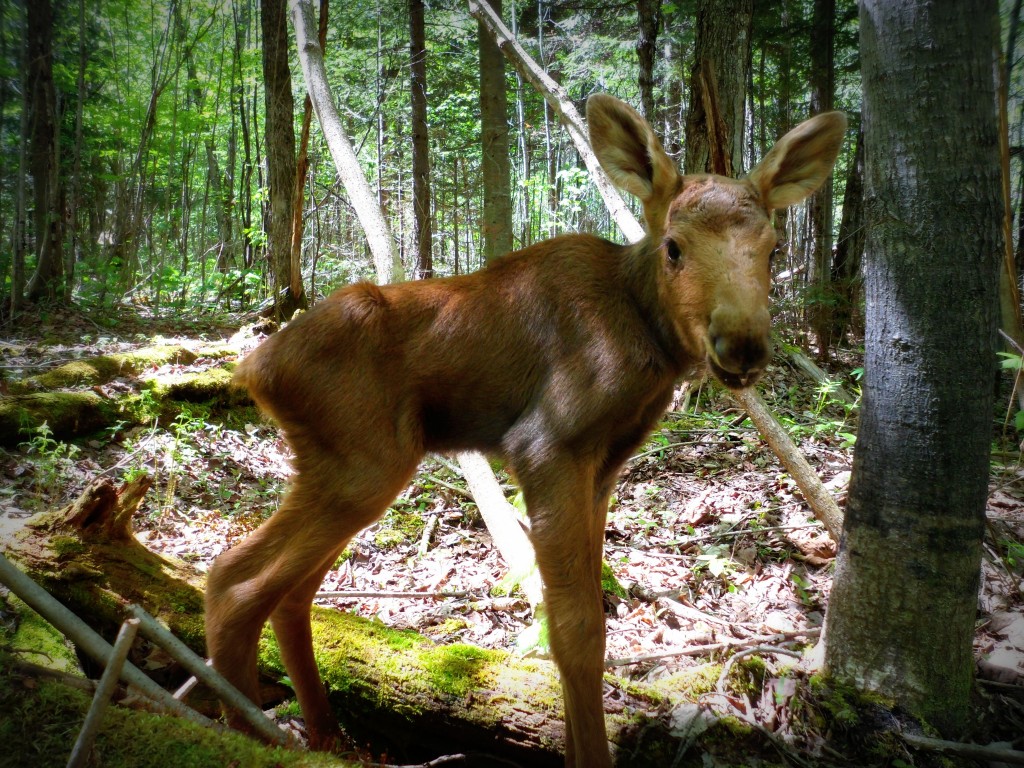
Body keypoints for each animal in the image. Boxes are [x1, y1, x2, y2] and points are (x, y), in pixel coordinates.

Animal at [205, 94, 846, 767]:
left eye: (774, 248)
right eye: (674, 246)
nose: (742, 344)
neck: (646, 337)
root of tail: (253, 369)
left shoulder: (602, 467)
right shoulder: (546, 445)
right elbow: (575, 631)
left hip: (345, 468)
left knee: (289, 593)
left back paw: (326, 736)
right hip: (364, 464)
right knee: (235, 581)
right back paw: (249, 732)